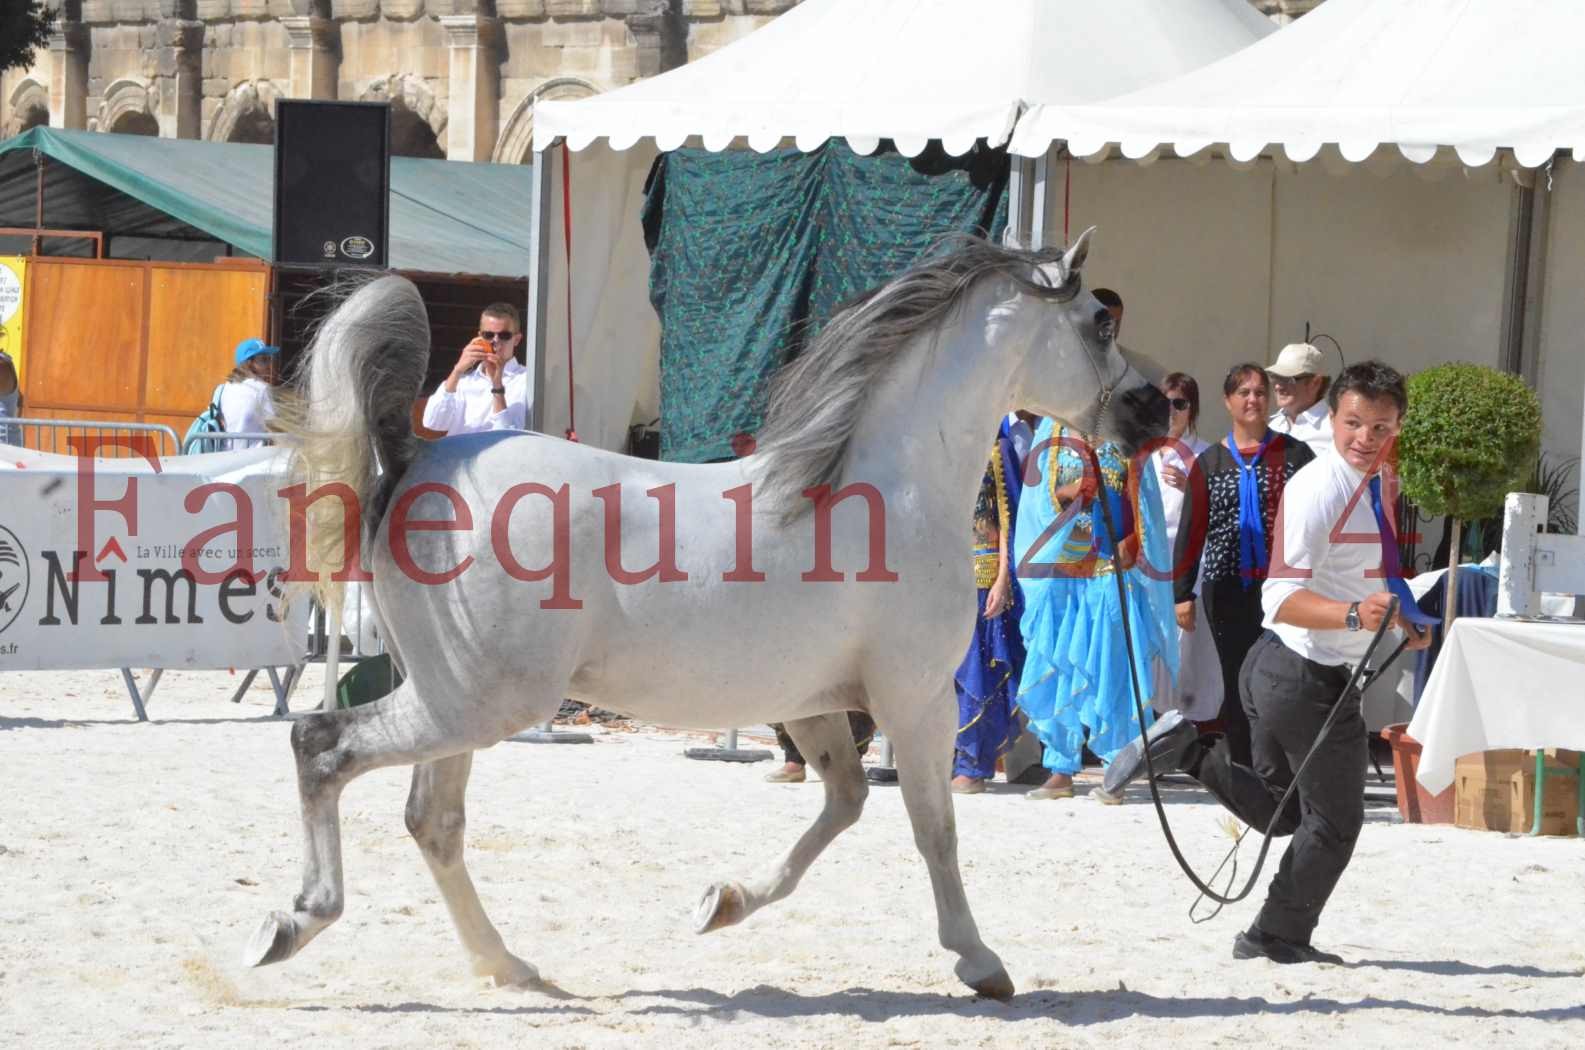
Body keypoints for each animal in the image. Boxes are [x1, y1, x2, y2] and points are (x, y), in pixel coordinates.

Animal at [244, 233, 1166, 1002]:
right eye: (1098, 324)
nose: (1153, 412)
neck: (885, 487)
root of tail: (414, 459)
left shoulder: (813, 704)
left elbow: (843, 805)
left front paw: (722, 903)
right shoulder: (917, 699)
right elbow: (932, 828)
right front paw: (980, 963)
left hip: (456, 701)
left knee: (431, 822)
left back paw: (511, 968)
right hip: (481, 702)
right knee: (319, 747)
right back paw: (294, 924)